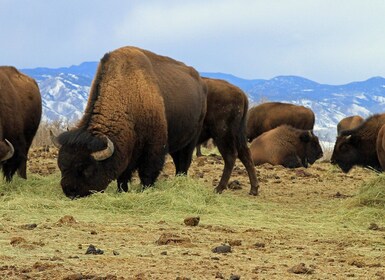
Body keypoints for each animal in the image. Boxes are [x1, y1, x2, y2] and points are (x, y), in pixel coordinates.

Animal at [52, 46, 207, 197]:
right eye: (61, 166)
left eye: (86, 168)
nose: (69, 191)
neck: (128, 96)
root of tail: (200, 82)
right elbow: (123, 175)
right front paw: (122, 190)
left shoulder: (154, 148)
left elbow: (148, 172)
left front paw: (145, 190)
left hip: (191, 139)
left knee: (184, 161)